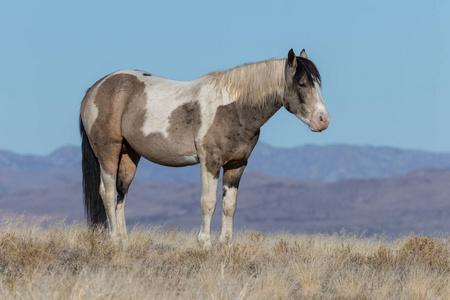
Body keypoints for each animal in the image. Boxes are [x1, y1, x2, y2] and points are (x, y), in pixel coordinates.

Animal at [79, 49, 328, 247]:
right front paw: (205, 244)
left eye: (318, 83)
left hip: (129, 155)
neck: (233, 108)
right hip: (108, 151)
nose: (323, 120)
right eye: (302, 83)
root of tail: (95, 88)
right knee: (109, 193)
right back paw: (114, 240)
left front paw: (226, 245)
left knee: (121, 194)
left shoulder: (237, 165)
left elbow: (229, 205)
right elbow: (208, 202)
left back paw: (124, 241)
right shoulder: (210, 161)